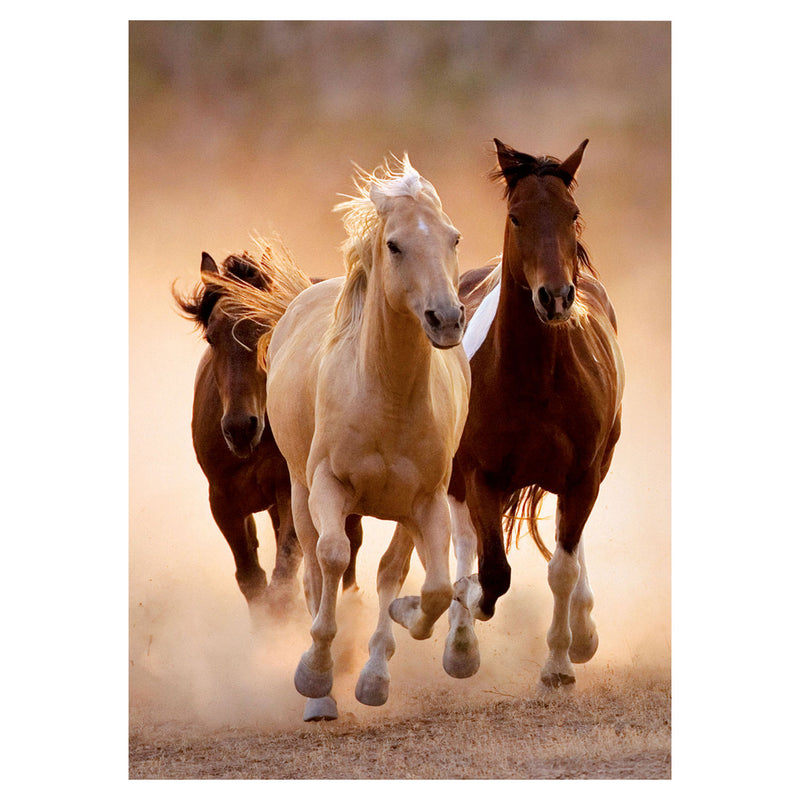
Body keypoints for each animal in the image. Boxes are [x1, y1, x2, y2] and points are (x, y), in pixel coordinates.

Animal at [172, 243, 363, 625]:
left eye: (267, 330)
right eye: (211, 337)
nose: (239, 428)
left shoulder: (291, 491)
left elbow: (284, 575)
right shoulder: (223, 501)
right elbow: (252, 579)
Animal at [260, 156, 470, 721]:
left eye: (453, 238)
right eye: (394, 244)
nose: (447, 319)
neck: (386, 396)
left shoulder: (427, 501)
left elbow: (430, 587)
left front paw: (399, 629)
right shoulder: (328, 486)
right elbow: (332, 559)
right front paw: (314, 673)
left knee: (389, 570)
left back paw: (373, 670)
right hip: (300, 491)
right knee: (314, 569)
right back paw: (322, 693)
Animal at [442, 139, 625, 688]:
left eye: (573, 213)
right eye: (516, 216)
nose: (556, 297)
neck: (537, 378)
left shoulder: (583, 475)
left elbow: (562, 567)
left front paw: (560, 663)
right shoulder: (481, 475)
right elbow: (492, 571)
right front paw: (468, 608)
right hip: (457, 475)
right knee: (463, 540)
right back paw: (459, 641)